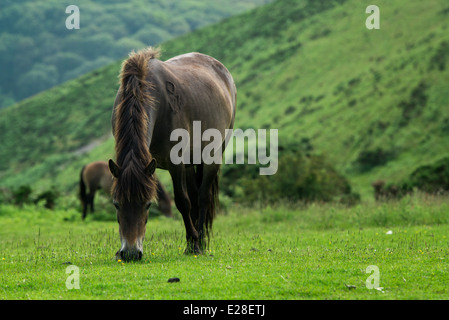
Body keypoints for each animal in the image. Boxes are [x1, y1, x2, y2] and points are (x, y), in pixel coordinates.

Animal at [109, 48, 236, 262]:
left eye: (147, 205)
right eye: (116, 204)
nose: (131, 253)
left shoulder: (174, 163)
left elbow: (182, 201)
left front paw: (194, 243)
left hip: (212, 157)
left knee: (202, 197)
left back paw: (200, 240)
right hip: (190, 163)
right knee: (195, 195)